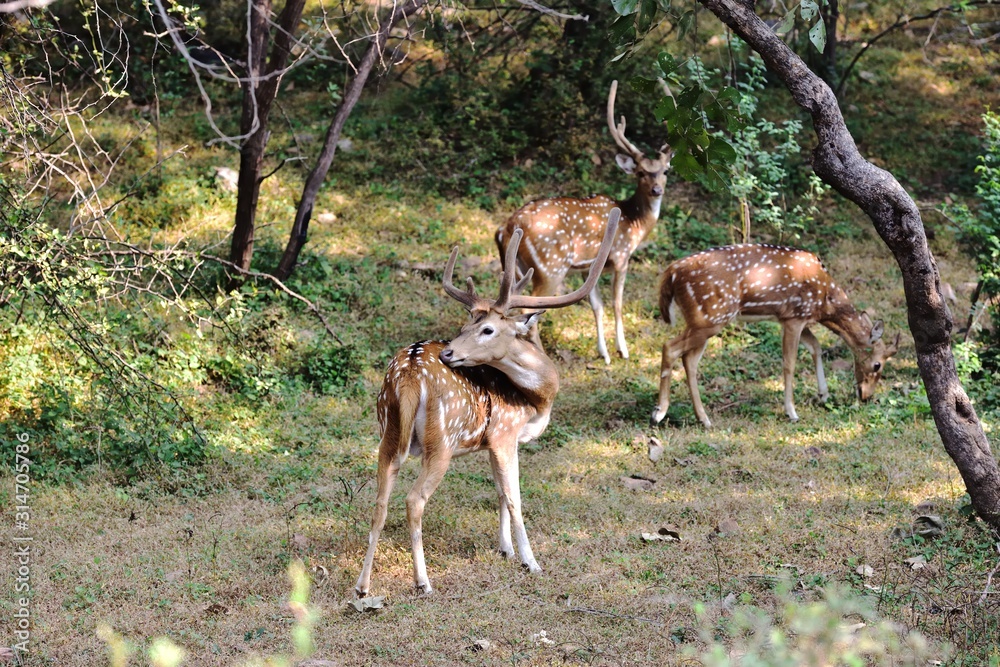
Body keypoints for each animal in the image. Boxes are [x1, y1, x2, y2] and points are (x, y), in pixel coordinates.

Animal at [354, 210, 621, 597]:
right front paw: (531, 561)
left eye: (485, 328)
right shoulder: (505, 433)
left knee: (379, 501)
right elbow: (515, 498)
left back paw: (362, 587)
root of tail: (409, 375)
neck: (537, 401)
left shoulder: (493, 440)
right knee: (414, 500)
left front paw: (505, 549)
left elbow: (498, 492)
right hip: (441, 441)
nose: (449, 352)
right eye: (469, 324)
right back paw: (423, 582)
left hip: (387, 433)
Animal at [494, 80, 672, 365]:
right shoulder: (621, 257)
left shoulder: (586, 268)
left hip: (518, 268)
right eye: (641, 172)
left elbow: (597, 306)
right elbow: (617, 303)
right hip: (550, 267)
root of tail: (505, 229)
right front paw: (623, 350)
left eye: (665, 170)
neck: (635, 223)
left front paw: (605, 354)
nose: (657, 190)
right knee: (528, 312)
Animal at [650, 243, 901, 428]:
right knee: (670, 347)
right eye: (878, 365)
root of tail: (671, 273)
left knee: (689, 359)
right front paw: (792, 412)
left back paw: (703, 419)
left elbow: (816, 347)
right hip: (710, 317)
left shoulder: (798, 318)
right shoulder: (793, 318)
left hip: (704, 321)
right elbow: (789, 363)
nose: (866, 396)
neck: (825, 303)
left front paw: (823, 394)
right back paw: (659, 412)